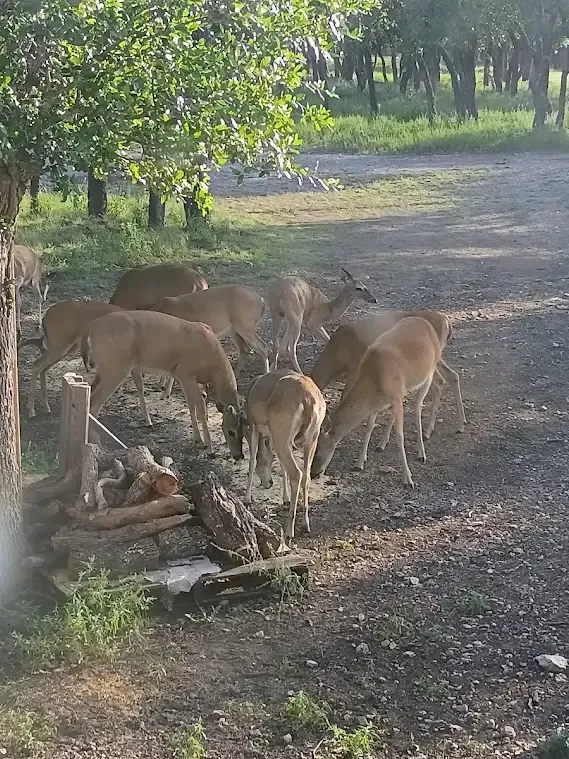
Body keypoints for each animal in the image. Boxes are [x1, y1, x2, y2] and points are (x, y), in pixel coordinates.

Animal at [87, 310, 242, 456]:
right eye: (231, 431)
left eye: (244, 430)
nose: (238, 456)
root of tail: (92, 330)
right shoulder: (185, 372)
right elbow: (200, 407)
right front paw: (209, 448)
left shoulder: (182, 376)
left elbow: (191, 405)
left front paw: (198, 440)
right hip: (116, 368)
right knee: (94, 402)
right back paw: (96, 443)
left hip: (104, 369)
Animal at [239, 370, 326, 541]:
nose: (268, 483)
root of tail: (308, 400)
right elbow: (281, 466)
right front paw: (285, 499)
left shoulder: (255, 426)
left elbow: (252, 460)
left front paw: (246, 499)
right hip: (312, 438)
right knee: (306, 476)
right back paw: (305, 525)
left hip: (282, 433)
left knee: (297, 473)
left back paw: (289, 531)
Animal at [309, 310, 466, 467]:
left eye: (317, 450)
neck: (336, 356)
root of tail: (446, 321)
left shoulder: (354, 368)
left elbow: (345, 398)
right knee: (450, 377)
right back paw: (451, 426)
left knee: (438, 383)